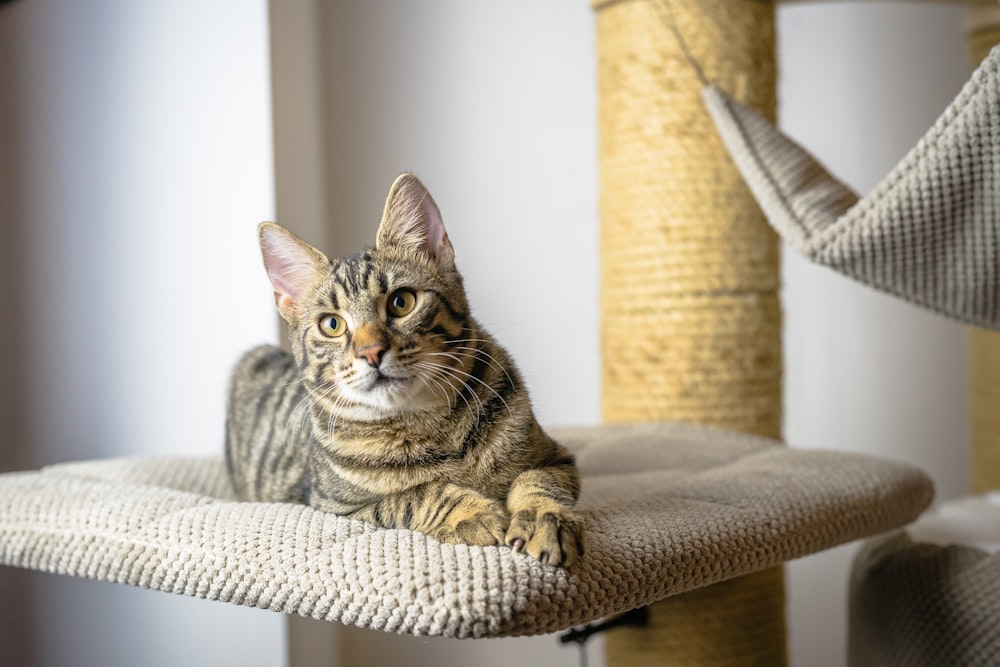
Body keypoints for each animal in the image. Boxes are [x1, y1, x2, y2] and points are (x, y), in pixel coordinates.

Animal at [225, 174, 584, 568]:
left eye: (401, 302)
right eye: (332, 324)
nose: (370, 352)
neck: (429, 427)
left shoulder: (557, 459)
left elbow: (538, 482)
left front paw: (544, 519)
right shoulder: (338, 507)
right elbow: (418, 494)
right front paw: (474, 513)